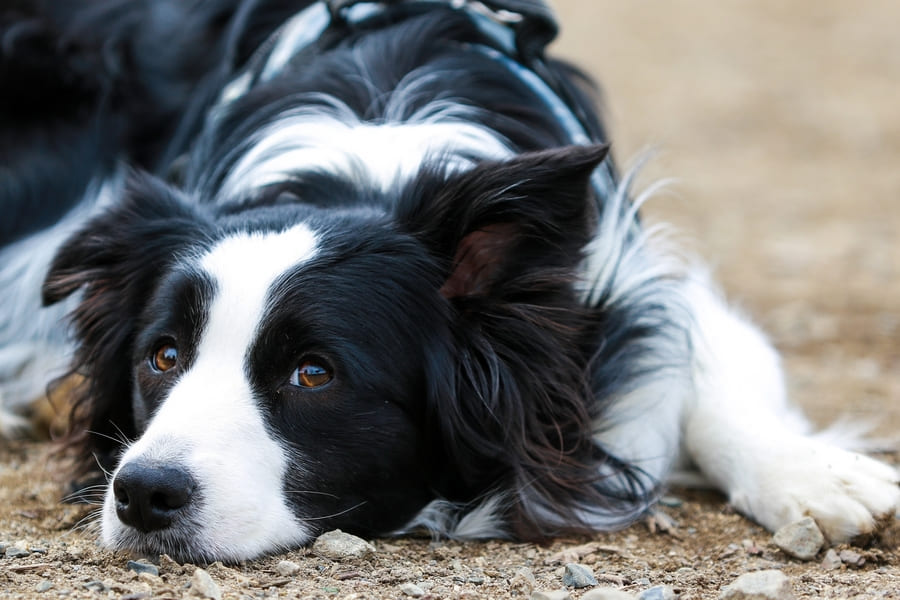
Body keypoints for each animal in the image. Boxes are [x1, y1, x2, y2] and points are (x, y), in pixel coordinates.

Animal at [1, 0, 900, 564]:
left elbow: (710, 371)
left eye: (314, 374)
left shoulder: (627, 275)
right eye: (163, 357)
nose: (143, 493)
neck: (368, 157)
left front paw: (818, 476)